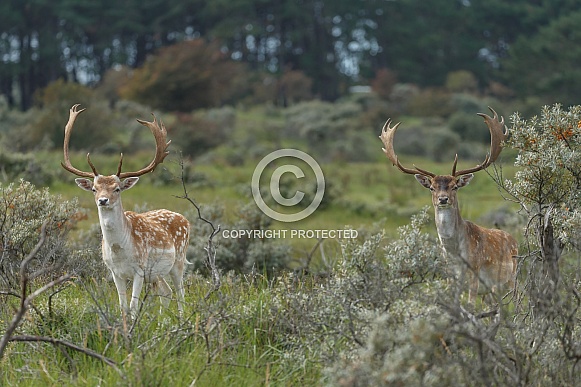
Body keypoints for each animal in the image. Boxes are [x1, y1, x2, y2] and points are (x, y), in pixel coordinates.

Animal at [63, 104, 190, 320]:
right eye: (94, 189)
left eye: (117, 188)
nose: (103, 200)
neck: (119, 250)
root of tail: (186, 220)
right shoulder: (115, 272)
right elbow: (122, 306)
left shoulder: (139, 269)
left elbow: (133, 305)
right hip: (157, 274)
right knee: (166, 292)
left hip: (178, 261)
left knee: (181, 294)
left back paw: (182, 321)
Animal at [380, 107, 516, 304]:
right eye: (432, 187)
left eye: (454, 186)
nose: (443, 199)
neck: (455, 254)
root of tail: (514, 239)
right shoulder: (449, 277)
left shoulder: (474, 271)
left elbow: (470, 305)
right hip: (493, 288)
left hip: (512, 278)